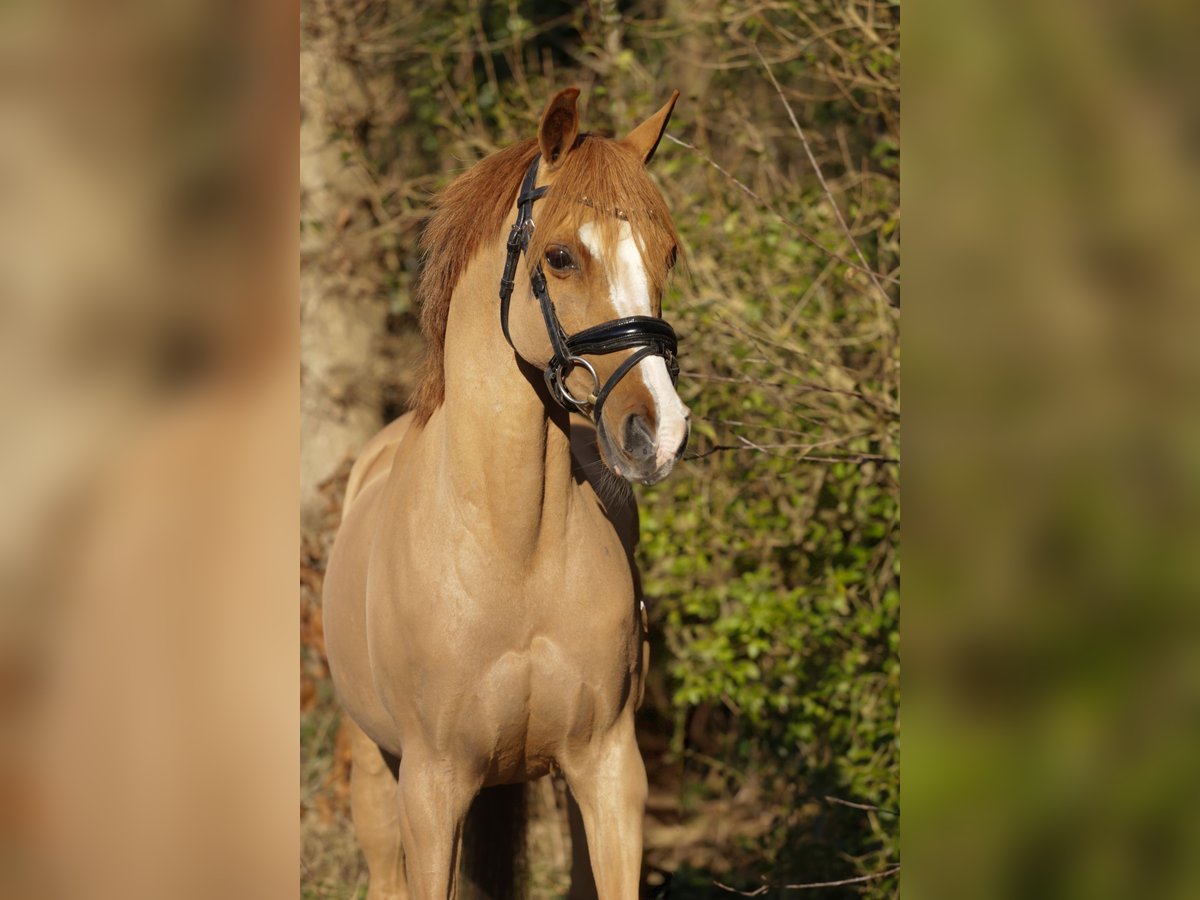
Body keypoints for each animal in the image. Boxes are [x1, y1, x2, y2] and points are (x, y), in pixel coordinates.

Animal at [324, 86, 691, 900]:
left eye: (668, 253)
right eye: (560, 257)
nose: (659, 430)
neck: (511, 547)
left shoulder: (611, 772)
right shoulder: (431, 793)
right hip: (377, 784)